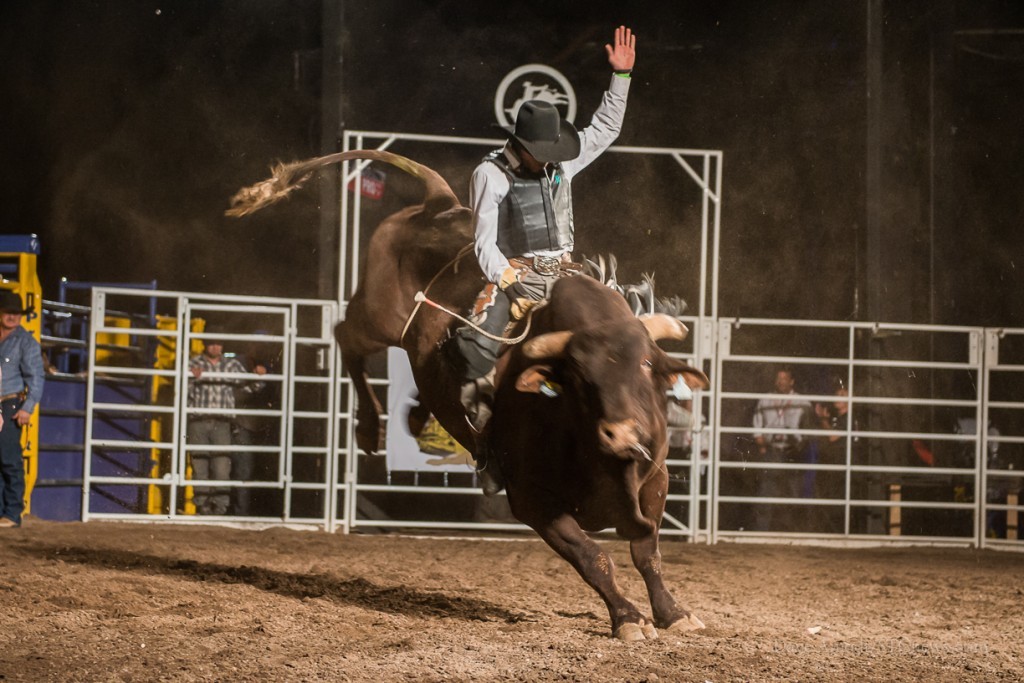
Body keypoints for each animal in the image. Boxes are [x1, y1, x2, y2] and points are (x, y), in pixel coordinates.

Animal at [229, 149, 712, 643]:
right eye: (577, 375)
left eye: (647, 364)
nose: (622, 433)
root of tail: (439, 203)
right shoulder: (532, 500)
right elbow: (593, 557)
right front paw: (629, 618)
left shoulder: (654, 480)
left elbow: (646, 552)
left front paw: (673, 613)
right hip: (379, 317)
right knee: (345, 334)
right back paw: (367, 426)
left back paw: (415, 417)